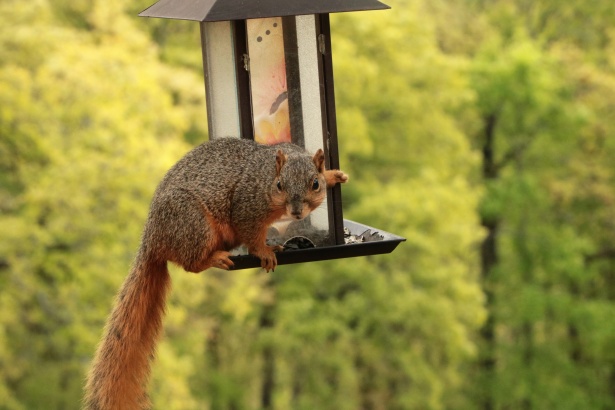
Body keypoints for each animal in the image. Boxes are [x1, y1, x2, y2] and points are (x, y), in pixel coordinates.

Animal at [84, 138, 348, 410]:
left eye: (315, 183)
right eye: (279, 185)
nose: (296, 212)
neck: (267, 173)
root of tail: (152, 241)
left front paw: (333, 175)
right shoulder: (246, 206)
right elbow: (251, 234)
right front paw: (264, 252)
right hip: (194, 225)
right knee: (191, 263)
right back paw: (216, 258)